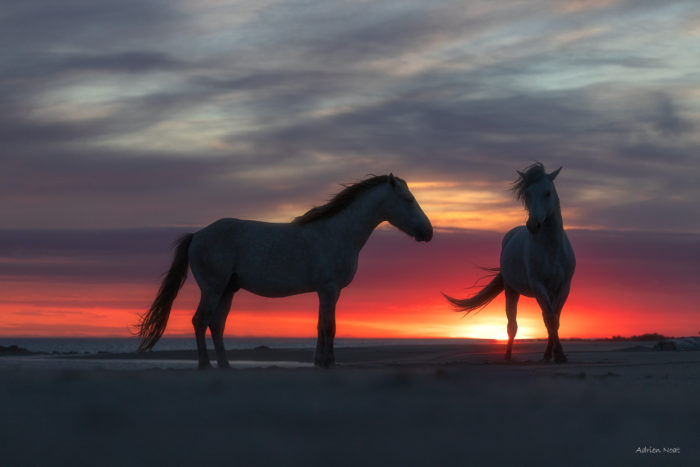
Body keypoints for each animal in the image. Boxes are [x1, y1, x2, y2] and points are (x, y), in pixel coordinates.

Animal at [136, 174, 433, 368]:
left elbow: (325, 326)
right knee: (200, 321)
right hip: (212, 288)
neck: (338, 232)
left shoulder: (330, 292)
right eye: (407, 199)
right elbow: (328, 326)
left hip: (227, 290)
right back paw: (205, 364)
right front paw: (327, 363)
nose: (428, 232)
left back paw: (225, 365)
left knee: (216, 324)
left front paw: (322, 361)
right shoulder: (328, 290)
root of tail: (197, 235)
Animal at [444, 163, 575, 363]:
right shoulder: (538, 286)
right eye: (527, 193)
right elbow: (550, 319)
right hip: (511, 290)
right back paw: (507, 356)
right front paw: (558, 354)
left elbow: (554, 320)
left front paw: (554, 354)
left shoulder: (563, 287)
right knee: (512, 324)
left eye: (547, 193)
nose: (533, 225)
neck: (551, 249)